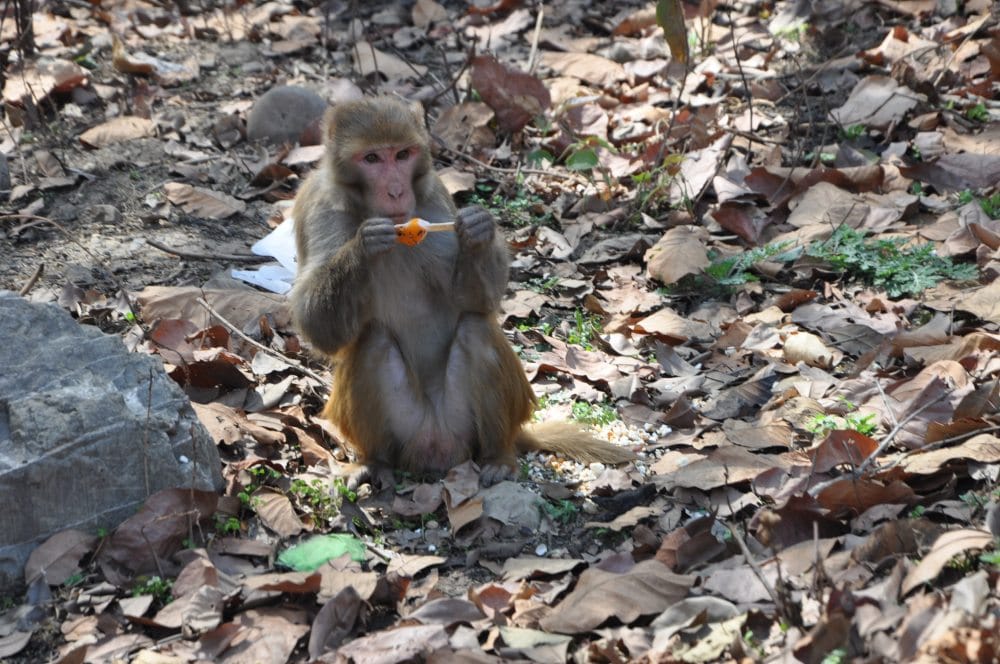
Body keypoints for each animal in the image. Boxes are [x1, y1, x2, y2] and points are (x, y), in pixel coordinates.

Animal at [289, 96, 635, 484]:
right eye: (372, 159)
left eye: (403, 154)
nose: (396, 191)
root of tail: (437, 446)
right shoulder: (319, 206)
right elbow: (318, 329)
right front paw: (364, 245)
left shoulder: (435, 196)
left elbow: (474, 301)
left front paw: (477, 232)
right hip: (406, 432)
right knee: (372, 344)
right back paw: (375, 462)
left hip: (466, 429)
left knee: (475, 329)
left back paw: (498, 456)